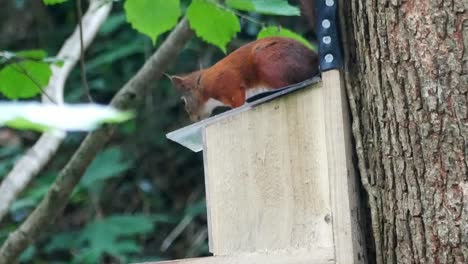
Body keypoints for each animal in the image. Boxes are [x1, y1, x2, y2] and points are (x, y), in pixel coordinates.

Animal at [168, 36, 318, 121]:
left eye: (183, 102)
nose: (193, 120)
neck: (204, 83)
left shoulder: (228, 83)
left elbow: (238, 102)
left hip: (269, 61)